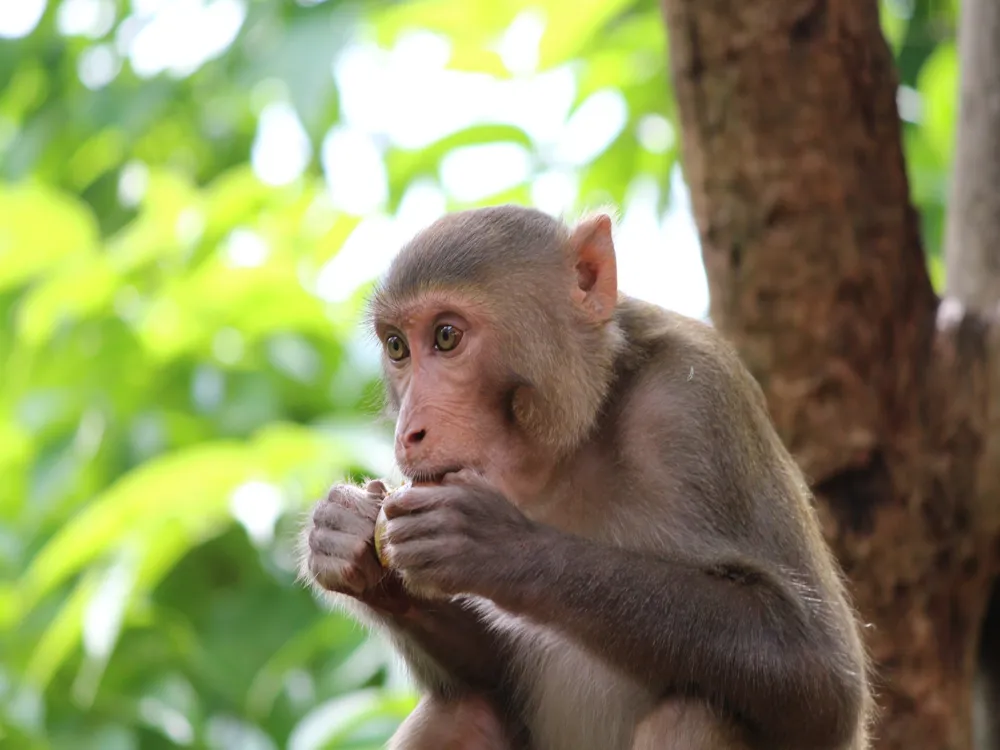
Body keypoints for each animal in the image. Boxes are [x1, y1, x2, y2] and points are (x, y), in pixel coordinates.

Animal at [300, 206, 872, 750]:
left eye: (446, 336)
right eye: (397, 347)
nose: (408, 433)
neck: (578, 435)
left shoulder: (697, 399)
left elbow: (823, 679)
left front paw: (499, 546)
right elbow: (490, 675)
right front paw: (348, 538)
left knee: (697, 711)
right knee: (464, 709)